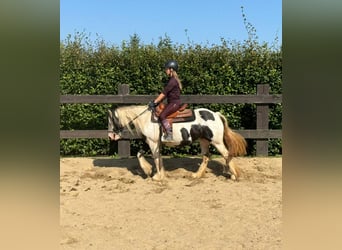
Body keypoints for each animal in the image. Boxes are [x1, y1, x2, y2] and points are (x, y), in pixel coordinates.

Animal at [107, 104, 246, 181]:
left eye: (111, 120)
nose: (110, 136)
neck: (146, 119)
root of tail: (215, 115)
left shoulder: (153, 142)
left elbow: (155, 158)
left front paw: (156, 176)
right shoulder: (154, 143)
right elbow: (143, 154)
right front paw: (154, 172)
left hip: (216, 141)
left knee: (226, 155)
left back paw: (235, 176)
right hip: (204, 141)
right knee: (206, 156)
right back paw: (196, 175)